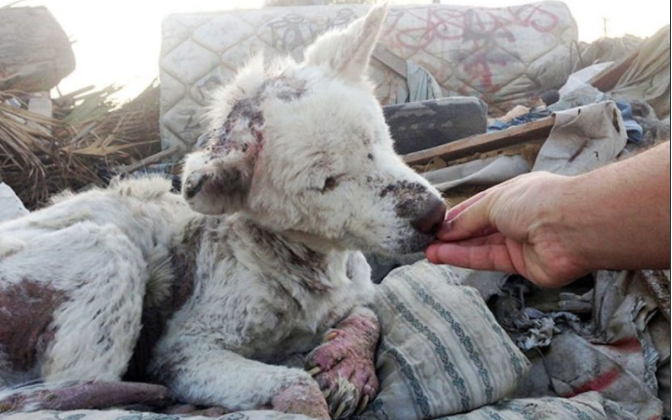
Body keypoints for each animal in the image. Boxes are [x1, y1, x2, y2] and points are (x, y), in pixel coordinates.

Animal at [0, 4, 446, 418]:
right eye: (326, 182)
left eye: (376, 140)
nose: (434, 213)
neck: (306, 262)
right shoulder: (184, 350)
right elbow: (297, 382)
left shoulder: (359, 294)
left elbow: (368, 318)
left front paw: (348, 366)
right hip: (106, 249)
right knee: (60, 389)